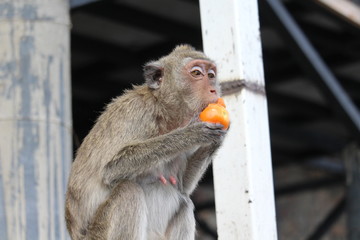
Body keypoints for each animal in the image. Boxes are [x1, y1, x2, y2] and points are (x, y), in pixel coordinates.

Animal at [65, 45, 228, 240]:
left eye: (211, 75)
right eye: (196, 73)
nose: (214, 90)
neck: (165, 112)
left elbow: (183, 186)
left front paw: (216, 140)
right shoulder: (136, 111)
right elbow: (111, 169)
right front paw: (192, 133)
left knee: (185, 203)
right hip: (98, 235)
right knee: (128, 191)